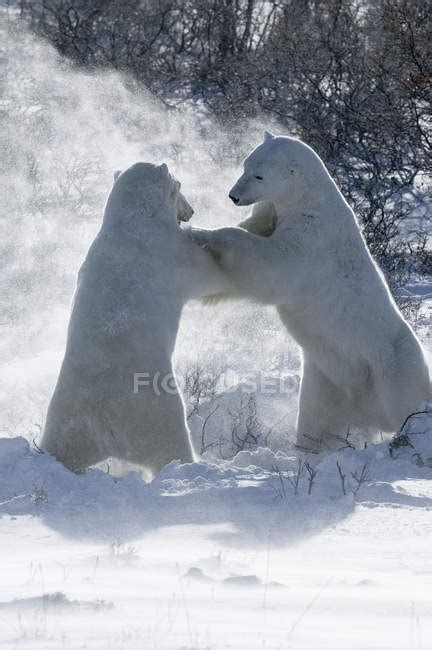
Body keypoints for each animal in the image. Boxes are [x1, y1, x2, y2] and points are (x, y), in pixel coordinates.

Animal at [42, 161, 233, 470]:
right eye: (179, 184)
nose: (191, 211)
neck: (133, 218)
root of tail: (107, 427)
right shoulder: (169, 253)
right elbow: (208, 273)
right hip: (156, 408)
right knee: (171, 445)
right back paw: (188, 464)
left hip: (66, 418)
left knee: (62, 448)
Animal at [191, 130, 430, 448]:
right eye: (245, 165)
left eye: (259, 175)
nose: (233, 196)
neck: (309, 200)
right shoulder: (274, 215)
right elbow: (255, 231)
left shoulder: (313, 237)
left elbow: (274, 265)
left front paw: (205, 234)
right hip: (327, 379)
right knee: (317, 420)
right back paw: (311, 449)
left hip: (392, 368)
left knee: (406, 403)